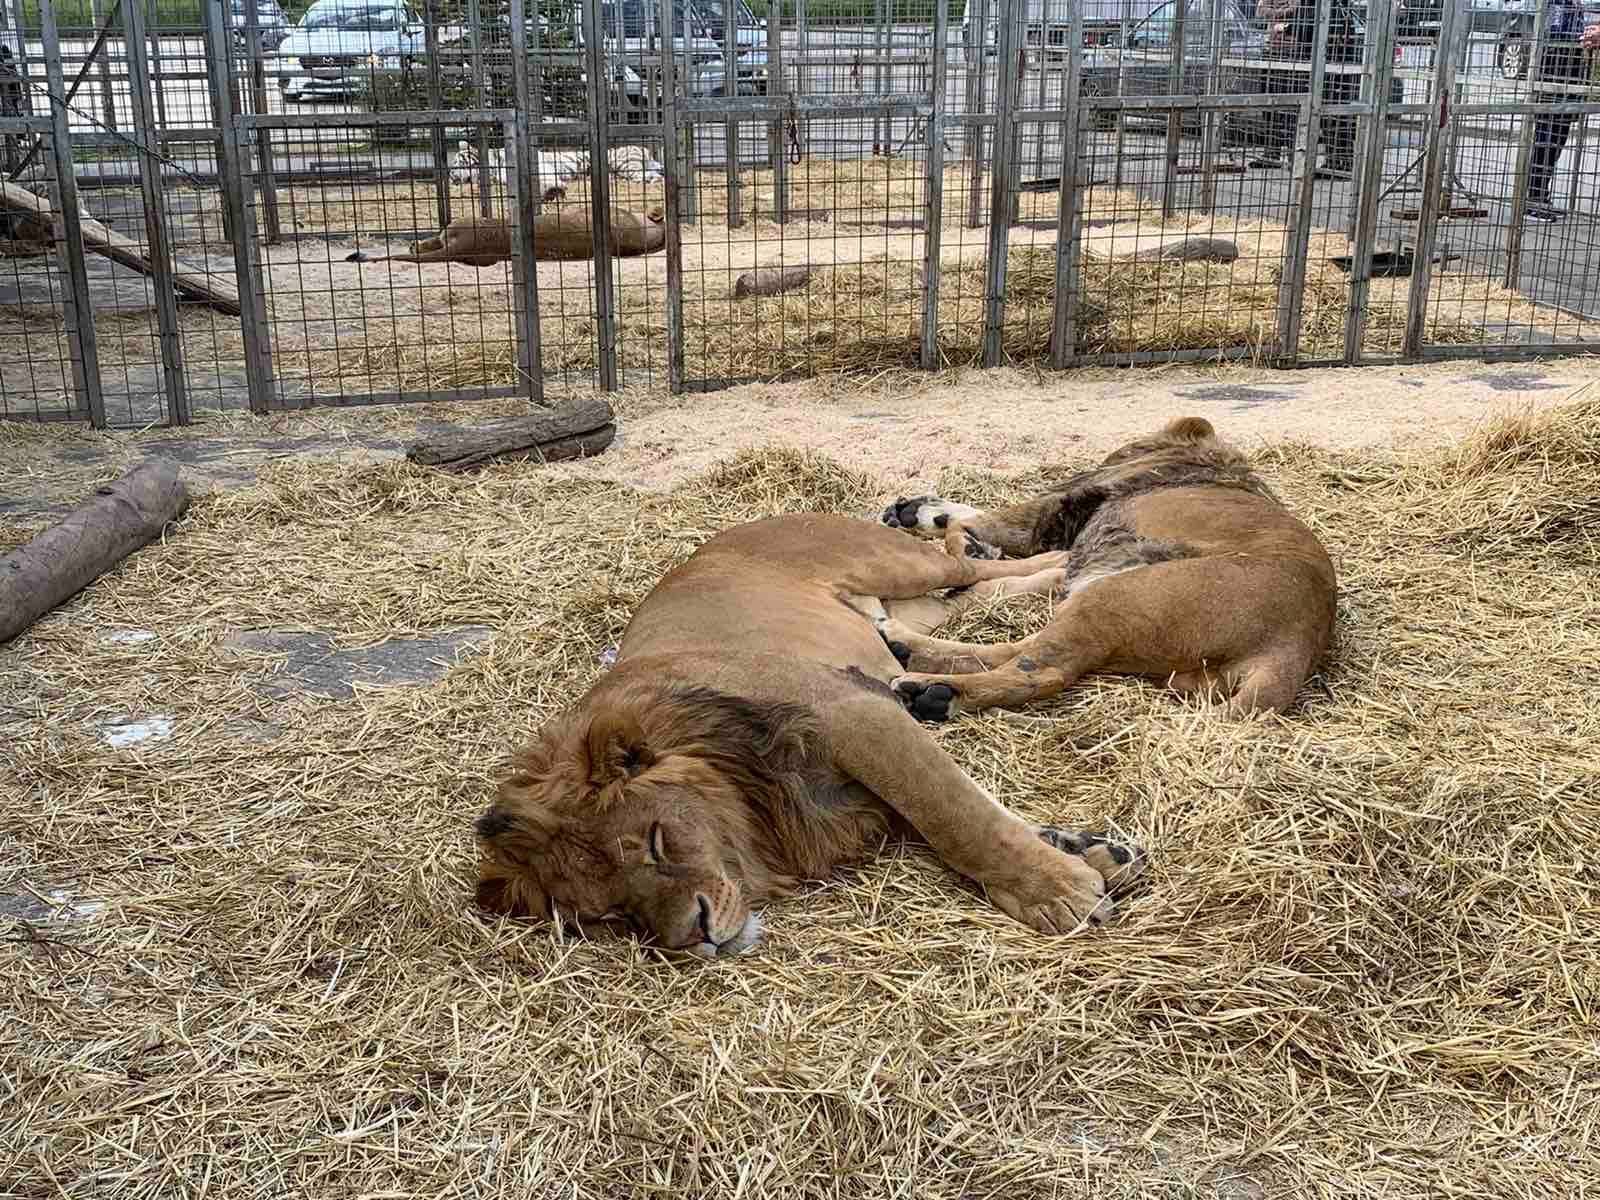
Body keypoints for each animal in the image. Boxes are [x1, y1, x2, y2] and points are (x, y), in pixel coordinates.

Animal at [467, 515, 1145, 960]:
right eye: (609, 912)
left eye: (655, 844)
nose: (697, 936)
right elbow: (957, 811)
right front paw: (1088, 852)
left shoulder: (855, 713)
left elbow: (955, 816)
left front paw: (1059, 893)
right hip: (919, 606)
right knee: (975, 591)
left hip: (900, 561)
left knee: (969, 560)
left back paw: (1060, 563)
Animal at [876, 416, 1337, 723]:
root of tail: (1291, 648)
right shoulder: (1070, 542)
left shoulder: (1059, 507)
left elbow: (971, 532)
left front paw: (958, 538)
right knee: (1018, 652)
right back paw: (906, 652)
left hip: (1112, 599)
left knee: (1043, 670)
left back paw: (926, 685)